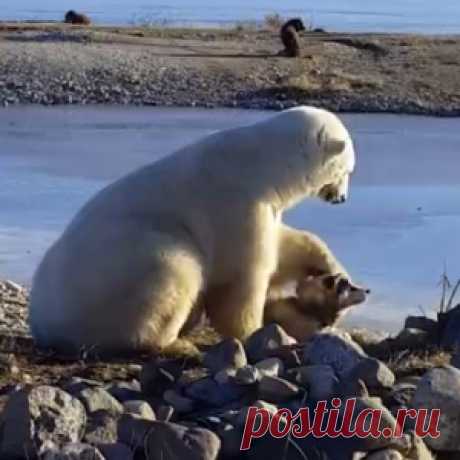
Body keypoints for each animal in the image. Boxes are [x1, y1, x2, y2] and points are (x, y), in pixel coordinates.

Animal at [28, 106, 356, 354]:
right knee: (175, 272)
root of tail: (43, 322)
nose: (342, 199)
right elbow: (242, 275)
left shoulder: (265, 206)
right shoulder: (236, 203)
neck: (262, 163)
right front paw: (256, 331)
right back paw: (174, 343)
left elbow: (284, 245)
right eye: (348, 170)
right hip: (125, 266)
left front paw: (332, 271)